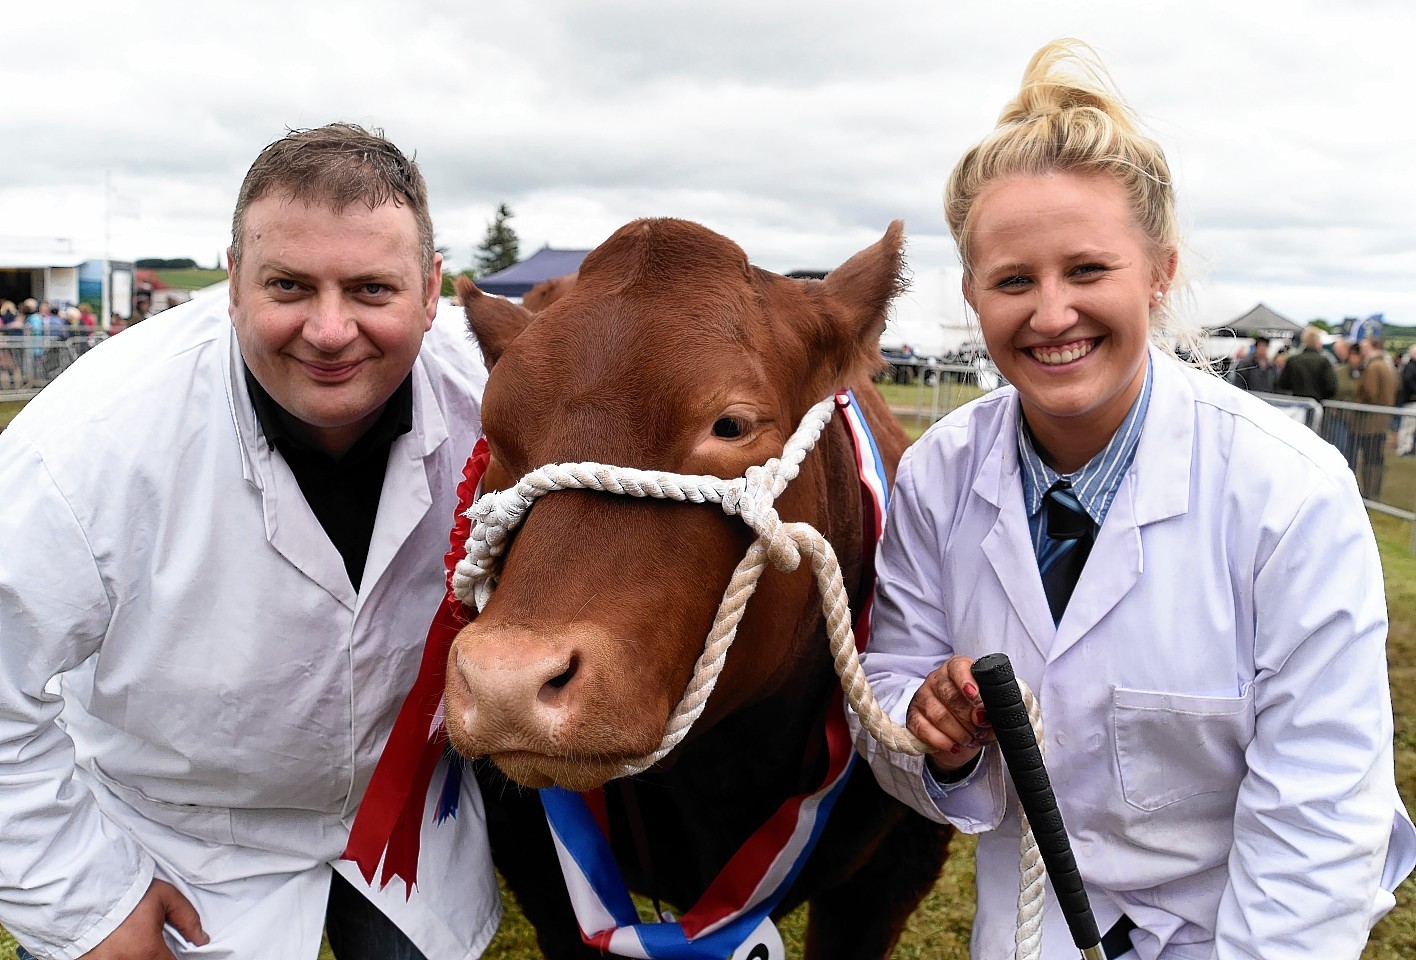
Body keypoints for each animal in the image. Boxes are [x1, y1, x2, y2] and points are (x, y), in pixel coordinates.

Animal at [447, 219, 951, 960]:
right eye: (496, 429)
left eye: (731, 424)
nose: (503, 681)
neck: (722, 768)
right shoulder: (535, 869)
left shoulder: (890, 875)